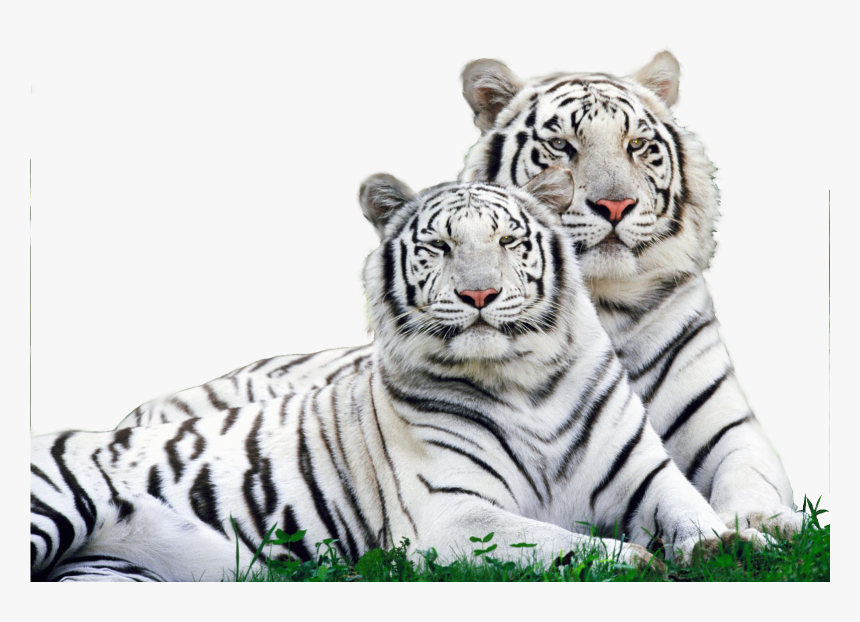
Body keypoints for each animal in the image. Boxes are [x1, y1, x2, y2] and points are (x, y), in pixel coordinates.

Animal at [32, 171, 764, 581]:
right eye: (440, 246)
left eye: (508, 241)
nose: (479, 295)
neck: (525, 381)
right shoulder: (451, 514)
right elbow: (560, 541)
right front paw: (640, 562)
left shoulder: (646, 476)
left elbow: (695, 513)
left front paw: (738, 544)